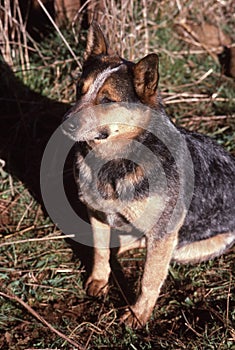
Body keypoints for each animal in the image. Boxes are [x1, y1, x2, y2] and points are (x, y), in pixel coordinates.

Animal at [62, 21, 235, 328]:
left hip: (185, 246)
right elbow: (99, 251)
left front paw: (138, 315)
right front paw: (99, 280)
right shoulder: (96, 213)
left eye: (106, 100)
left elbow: (149, 278)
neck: (114, 163)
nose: (64, 124)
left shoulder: (164, 232)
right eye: (79, 90)